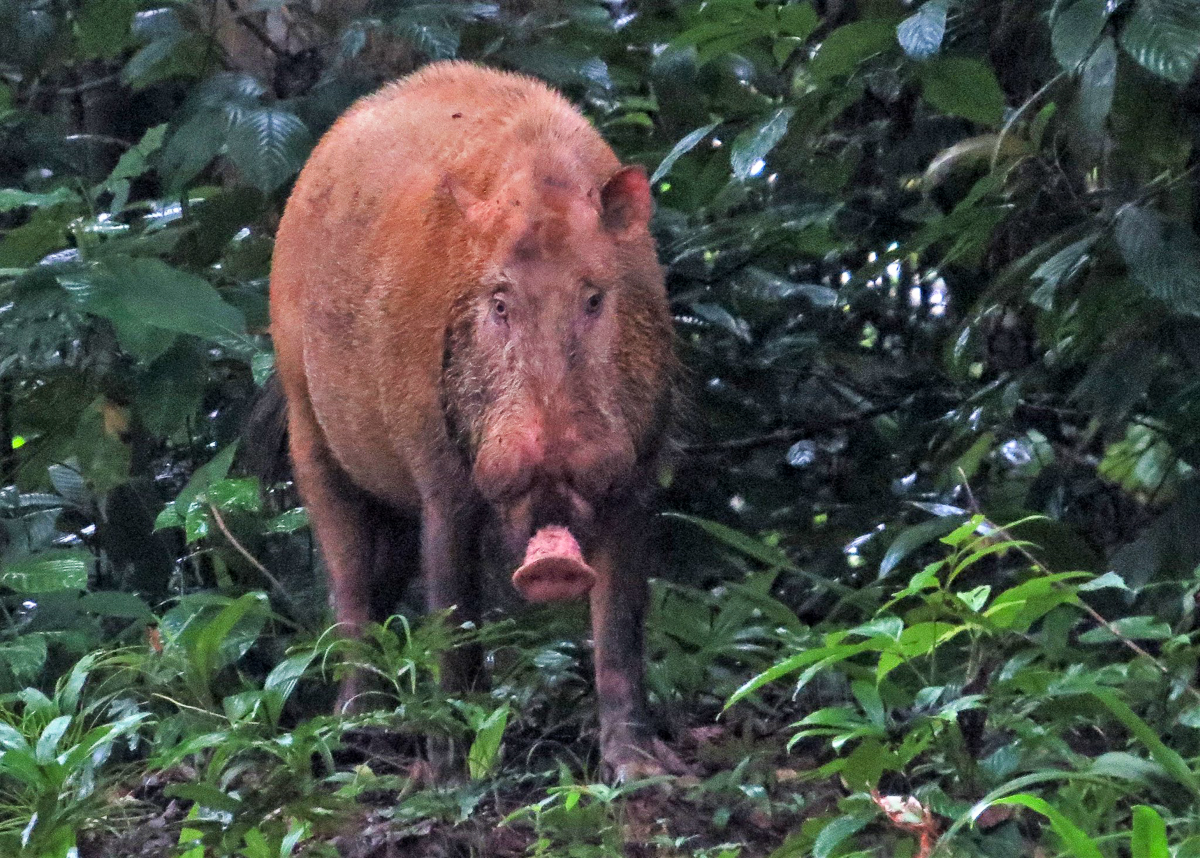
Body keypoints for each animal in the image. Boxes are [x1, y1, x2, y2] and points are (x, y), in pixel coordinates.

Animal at [261, 61, 679, 779]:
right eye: (499, 303)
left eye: (595, 297)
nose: (551, 562)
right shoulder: (438, 471)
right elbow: (451, 616)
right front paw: (454, 774)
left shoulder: (637, 468)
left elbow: (620, 625)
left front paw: (638, 771)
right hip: (305, 421)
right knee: (348, 585)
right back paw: (356, 735)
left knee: (385, 574)